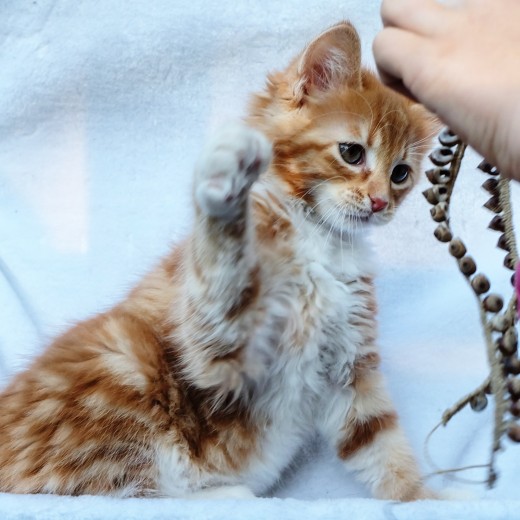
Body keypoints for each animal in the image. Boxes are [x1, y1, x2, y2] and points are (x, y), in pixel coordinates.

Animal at [0, 22, 438, 502]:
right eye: (352, 152)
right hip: (121, 358)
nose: (380, 203)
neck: (316, 239)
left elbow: (381, 441)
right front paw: (226, 194)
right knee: (109, 490)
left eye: (401, 174)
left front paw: (424, 498)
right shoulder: (218, 351)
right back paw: (227, 492)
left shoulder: (349, 364)